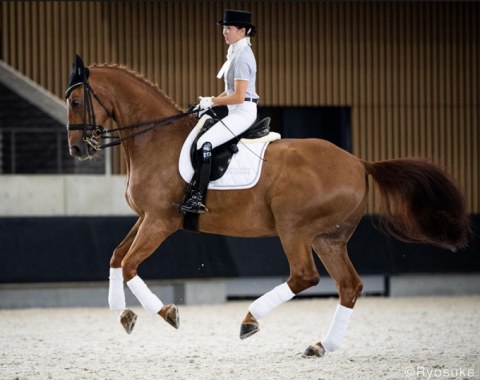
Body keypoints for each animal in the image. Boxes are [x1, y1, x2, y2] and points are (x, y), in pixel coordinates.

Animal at [64, 56, 468, 356]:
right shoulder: (146, 217)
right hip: (328, 238)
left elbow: (131, 264)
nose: (78, 149)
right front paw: (123, 315)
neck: (155, 139)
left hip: (294, 228)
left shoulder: (161, 221)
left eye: (76, 101)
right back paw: (322, 345)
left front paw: (166, 313)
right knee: (349, 286)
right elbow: (116, 258)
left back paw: (250, 320)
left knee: (305, 277)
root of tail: (358, 162)